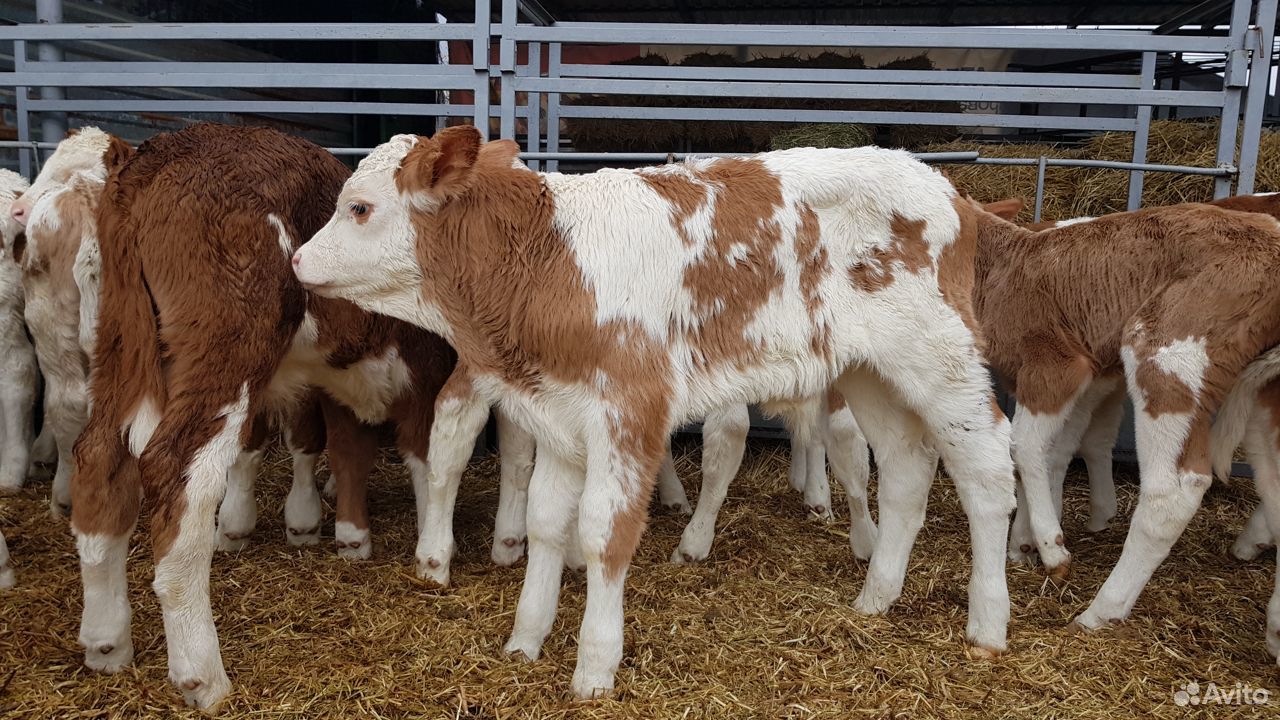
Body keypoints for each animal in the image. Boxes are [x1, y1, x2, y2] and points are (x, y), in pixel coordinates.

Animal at [293, 128, 1018, 696]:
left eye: (359, 208)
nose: (297, 259)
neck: (550, 260)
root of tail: (949, 191)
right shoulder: (561, 418)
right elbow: (546, 523)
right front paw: (525, 642)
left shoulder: (628, 411)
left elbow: (604, 534)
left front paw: (594, 667)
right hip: (872, 372)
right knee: (905, 470)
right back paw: (875, 597)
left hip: (942, 361)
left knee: (985, 474)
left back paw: (987, 623)